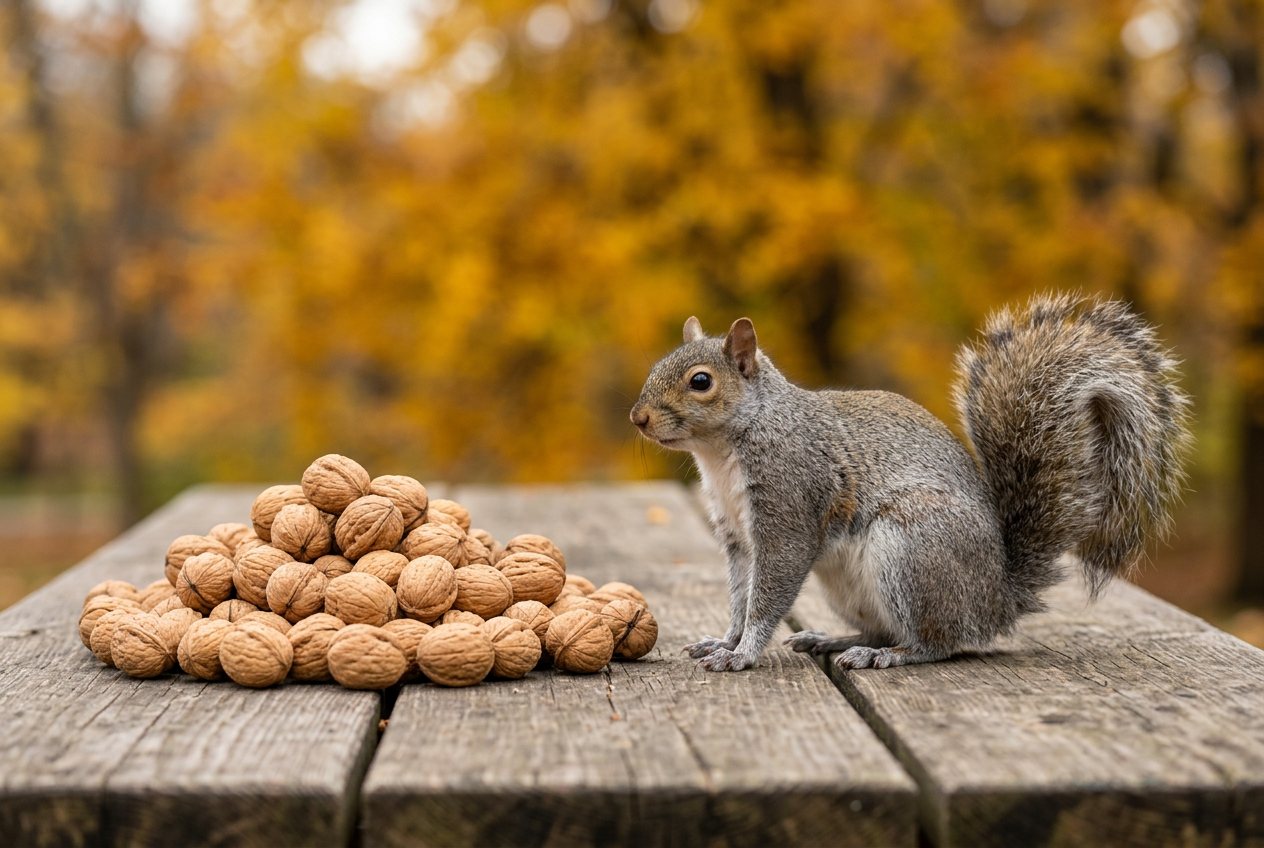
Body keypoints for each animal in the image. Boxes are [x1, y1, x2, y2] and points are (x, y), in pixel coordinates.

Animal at [630, 295, 1190, 672]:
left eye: (701, 381)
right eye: (657, 366)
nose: (639, 418)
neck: (724, 453)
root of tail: (998, 599)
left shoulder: (789, 505)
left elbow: (766, 595)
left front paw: (743, 653)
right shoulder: (736, 536)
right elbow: (739, 595)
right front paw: (725, 641)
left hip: (912, 549)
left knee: (937, 642)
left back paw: (889, 655)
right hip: (851, 585)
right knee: (883, 626)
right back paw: (835, 641)